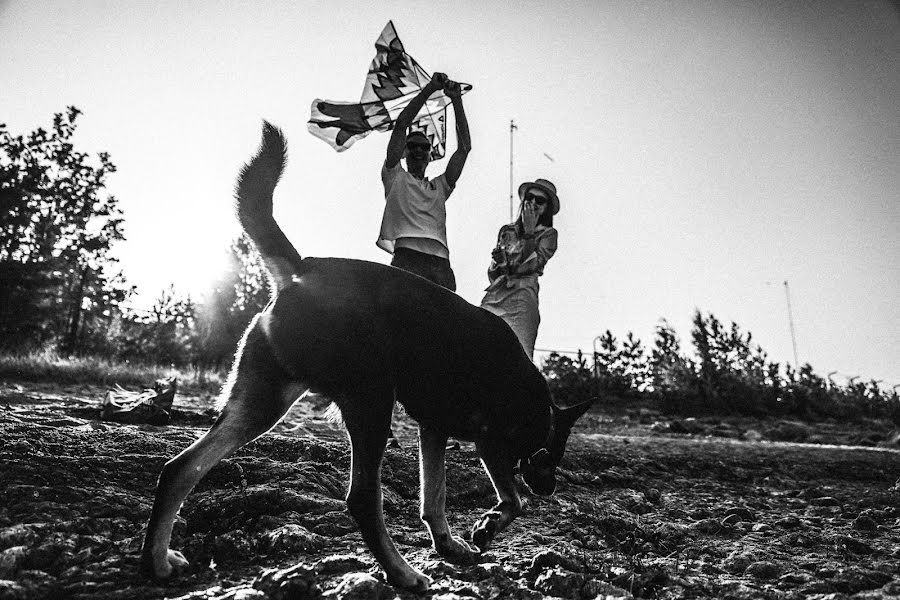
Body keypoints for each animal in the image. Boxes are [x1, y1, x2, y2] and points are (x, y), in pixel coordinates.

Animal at [141, 122, 592, 592]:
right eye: (552, 453)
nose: (551, 489)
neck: (539, 404)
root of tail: (301, 270)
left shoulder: (433, 428)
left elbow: (434, 498)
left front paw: (449, 545)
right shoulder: (488, 440)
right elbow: (512, 500)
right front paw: (487, 526)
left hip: (262, 403)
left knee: (178, 469)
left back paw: (156, 562)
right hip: (370, 400)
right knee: (361, 499)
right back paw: (401, 573)